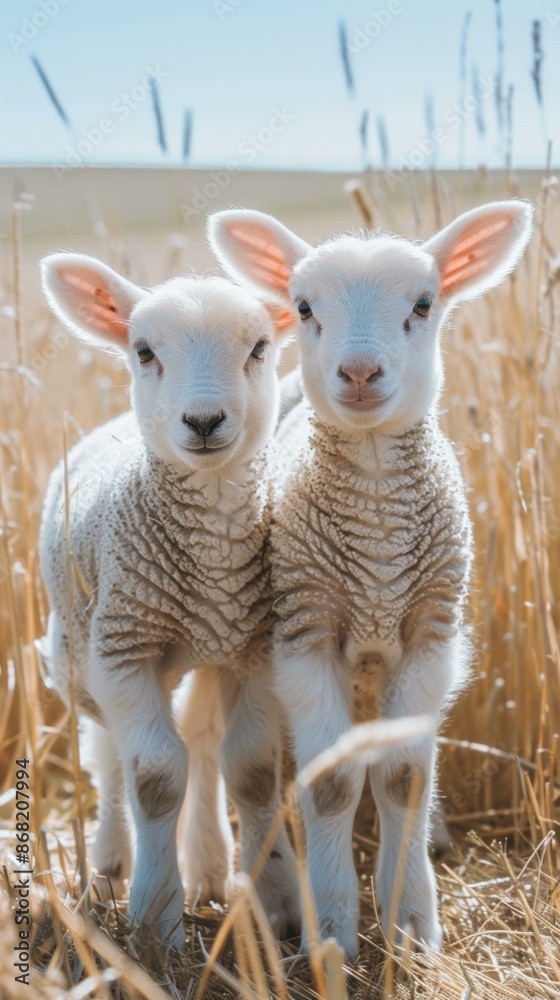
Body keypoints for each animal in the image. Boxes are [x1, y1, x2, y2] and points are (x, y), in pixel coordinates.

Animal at [37, 252, 301, 951]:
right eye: (145, 350)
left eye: (259, 347)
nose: (204, 422)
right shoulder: (125, 649)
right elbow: (155, 776)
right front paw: (155, 919)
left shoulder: (258, 648)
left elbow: (251, 770)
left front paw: (276, 907)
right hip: (81, 653)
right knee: (111, 756)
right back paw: (110, 865)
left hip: (206, 655)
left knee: (203, 744)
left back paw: (208, 870)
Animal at [208, 200, 534, 959]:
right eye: (303, 306)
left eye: (423, 303)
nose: (358, 372)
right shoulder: (306, 632)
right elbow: (331, 785)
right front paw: (331, 931)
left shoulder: (429, 634)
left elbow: (403, 778)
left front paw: (412, 923)